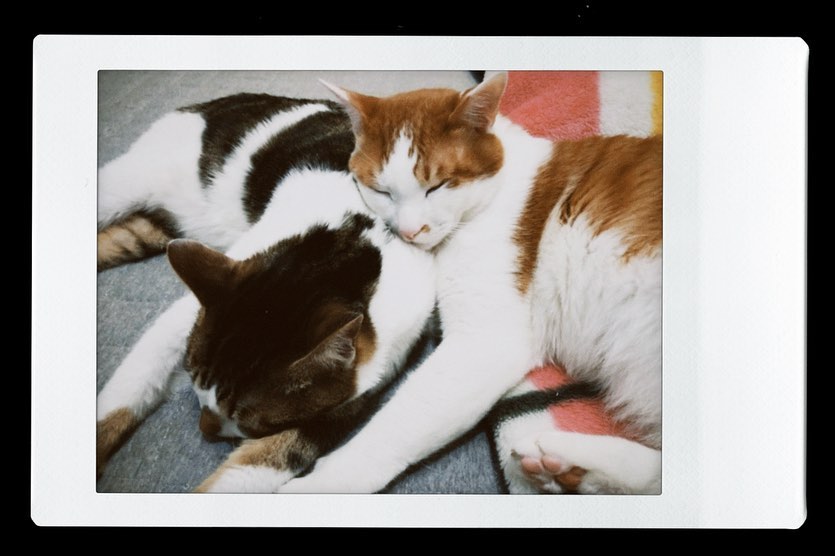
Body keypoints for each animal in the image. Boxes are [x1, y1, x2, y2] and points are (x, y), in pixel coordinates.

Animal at [95, 93, 437, 491]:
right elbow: (134, 380)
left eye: (251, 419)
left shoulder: (357, 390)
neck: (362, 238)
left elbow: (269, 460)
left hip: (156, 230)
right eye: (191, 376)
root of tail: (208, 104)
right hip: (129, 184)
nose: (205, 430)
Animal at [264, 72, 663, 495]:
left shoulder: (484, 341)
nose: (410, 231)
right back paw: (571, 466)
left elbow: (396, 425)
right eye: (381, 190)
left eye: (437, 186)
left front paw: (321, 483)